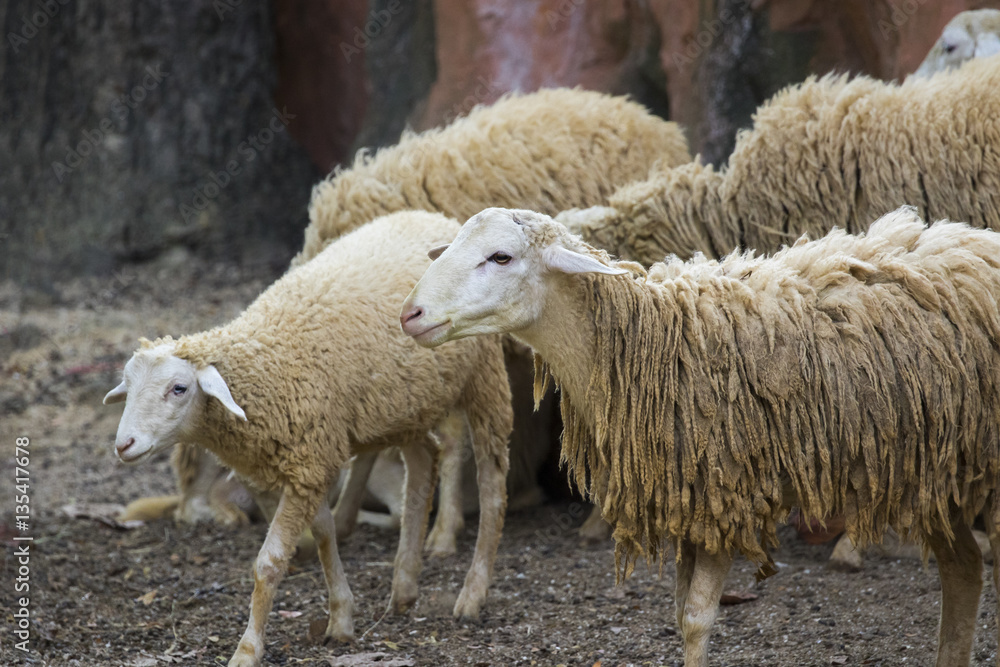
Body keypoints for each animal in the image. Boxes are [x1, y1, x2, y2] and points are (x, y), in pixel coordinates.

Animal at [104, 211, 513, 667]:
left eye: (179, 388)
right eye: (128, 386)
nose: (124, 445)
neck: (266, 366)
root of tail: (433, 217)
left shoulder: (309, 464)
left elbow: (269, 562)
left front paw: (248, 649)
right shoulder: (309, 463)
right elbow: (324, 534)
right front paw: (341, 619)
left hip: (484, 375)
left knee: (492, 483)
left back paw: (471, 593)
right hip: (405, 404)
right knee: (424, 462)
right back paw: (404, 586)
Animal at [400, 206, 1000, 666]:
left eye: (501, 257)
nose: (410, 314)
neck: (648, 341)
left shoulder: (724, 494)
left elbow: (693, 619)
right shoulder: (691, 504)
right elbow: (678, 612)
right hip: (940, 469)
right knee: (965, 570)